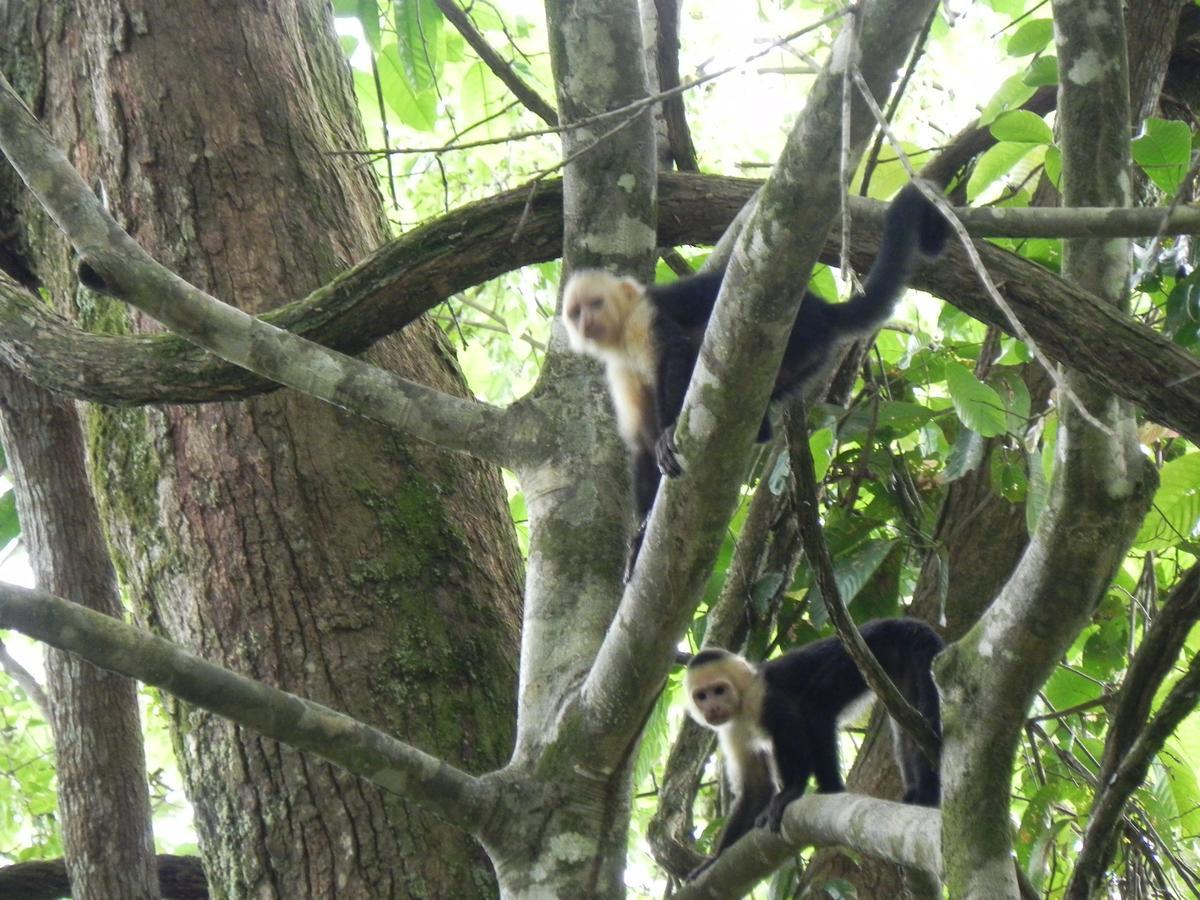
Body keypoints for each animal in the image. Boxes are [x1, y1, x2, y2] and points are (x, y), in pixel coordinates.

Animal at [559, 183, 945, 578]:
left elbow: (676, 353)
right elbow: (641, 441)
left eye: (595, 303)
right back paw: (759, 430)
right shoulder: (618, 366)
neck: (622, 333)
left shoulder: (645, 318)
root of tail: (821, 311)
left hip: (794, 336)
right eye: (575, 312)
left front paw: (668, 434)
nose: (586, 321)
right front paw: (639, 537)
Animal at [686, 619, 945, 873]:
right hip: (895, 670)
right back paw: (917, 794)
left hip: (866, 654)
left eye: (719, 690)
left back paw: (832, 788)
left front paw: (791, 790)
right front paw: (714, 858)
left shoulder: (761, 696)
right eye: (702, 696)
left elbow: (791, 722)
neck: (742, 702)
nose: (713, 708)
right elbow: (757, 788)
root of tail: (897, 623)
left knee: (816, 707)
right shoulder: (731, 730)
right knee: (907, 727)